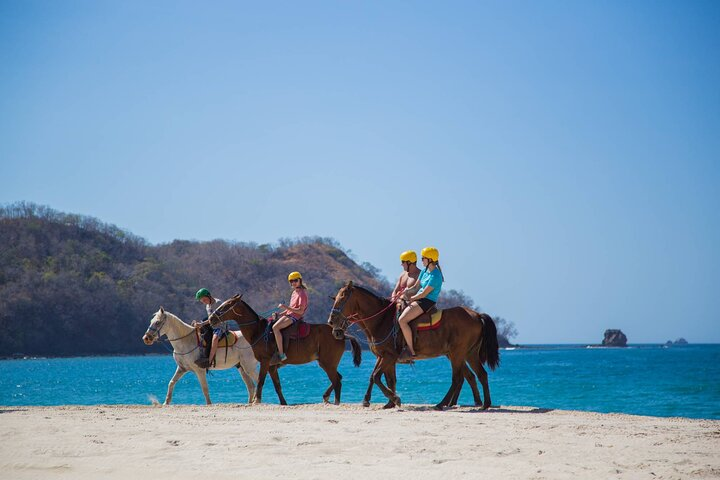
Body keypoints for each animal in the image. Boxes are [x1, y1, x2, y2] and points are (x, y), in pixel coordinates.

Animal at [211, 294, 362, 404]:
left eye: (226, 305)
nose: (211, 318)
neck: (259, 331)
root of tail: (341, 335)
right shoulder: (272, 366)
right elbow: (277, 385)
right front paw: (283, 403)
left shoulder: (265, 362)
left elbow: (260, 381)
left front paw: (257, 401)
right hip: (326, 363)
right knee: (338, 378)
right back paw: (326, 397)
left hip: (328, 363)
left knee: (337, 381)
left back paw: (335, 402)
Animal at [330, 284, 498, 410]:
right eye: (335, 298)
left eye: (342, 298)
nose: (332, 322)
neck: (381, 320)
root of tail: (476, 315)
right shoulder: (384, 357)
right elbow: (383, 378)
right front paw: (386, 402)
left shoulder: (389, 356)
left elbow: (377, 376)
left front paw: (395, 398)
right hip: (468, 354)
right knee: (480, 375)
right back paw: (484, 404)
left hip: (457, 354)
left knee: (458, 378)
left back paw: (442, 403)